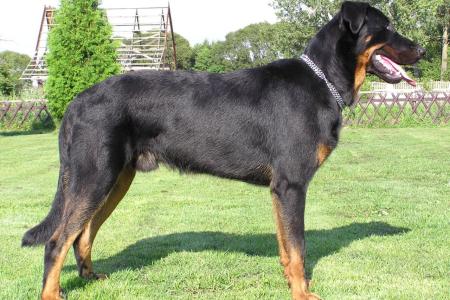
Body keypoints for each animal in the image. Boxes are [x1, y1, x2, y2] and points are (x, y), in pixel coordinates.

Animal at [23, 1, 426, 298]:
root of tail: (76, 102)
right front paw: (302, 292)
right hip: (95, 176)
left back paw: (90, 278)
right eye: (386, 26)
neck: (322, 79)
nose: (421, 49)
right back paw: (52, 292)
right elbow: (298, 247)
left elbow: (286, 245)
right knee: (58, 240)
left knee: (83, 233)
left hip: (115, 178)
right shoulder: (292, 185)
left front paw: (289, 283)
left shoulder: (279, 190)